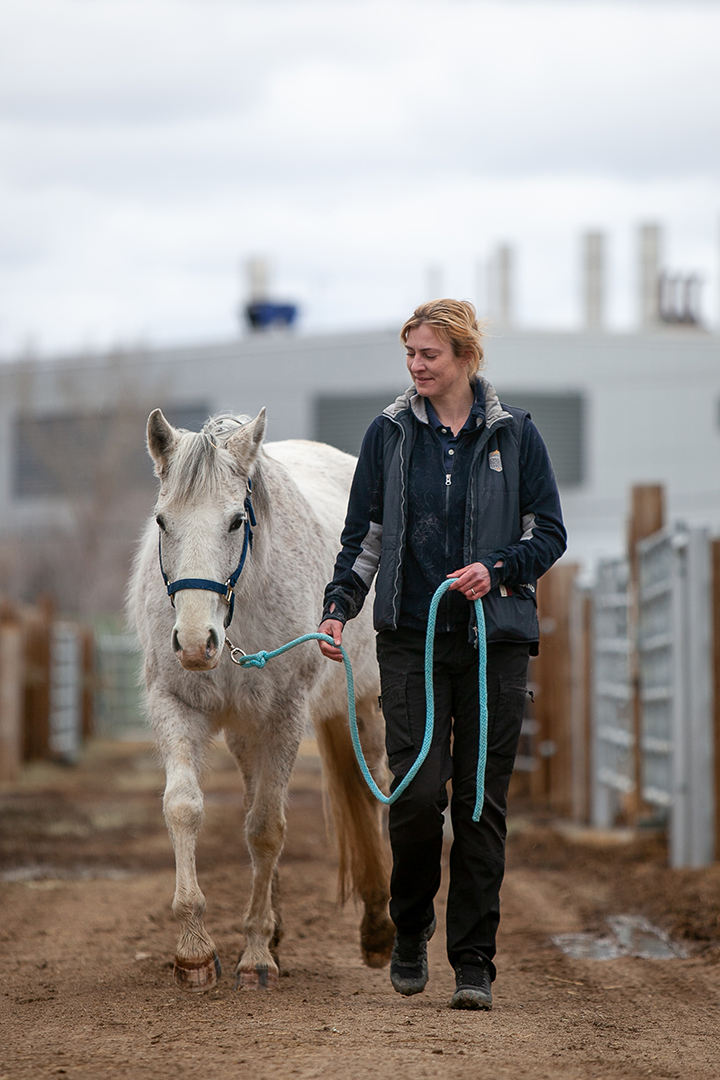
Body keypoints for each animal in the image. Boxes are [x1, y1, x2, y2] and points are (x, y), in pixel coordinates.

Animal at [125, 408, 395, 989]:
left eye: (234, 521)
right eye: (162, 521)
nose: (195, 643)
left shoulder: (285, 717)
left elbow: (268, 829)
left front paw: (254, 957)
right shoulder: (176, 706)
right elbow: (185, 808)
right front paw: (196, 952)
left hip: (366, 703)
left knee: (376, 789)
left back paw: (381, 927)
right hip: (246, 732)